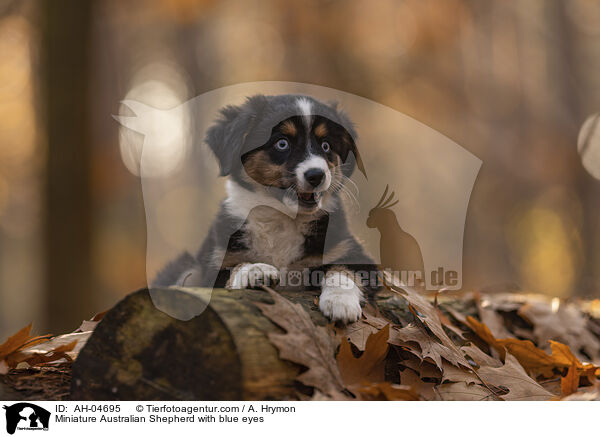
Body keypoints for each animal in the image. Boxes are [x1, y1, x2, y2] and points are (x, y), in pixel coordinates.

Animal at [155, 93, 380, 322]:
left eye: (326, 146)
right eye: (282, 143)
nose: (317, 175)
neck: (281, 215)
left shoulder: (350, 251)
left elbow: (341, 270)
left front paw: (340, 303)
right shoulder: (216, 262)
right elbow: (236, 268)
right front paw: (256, 270)